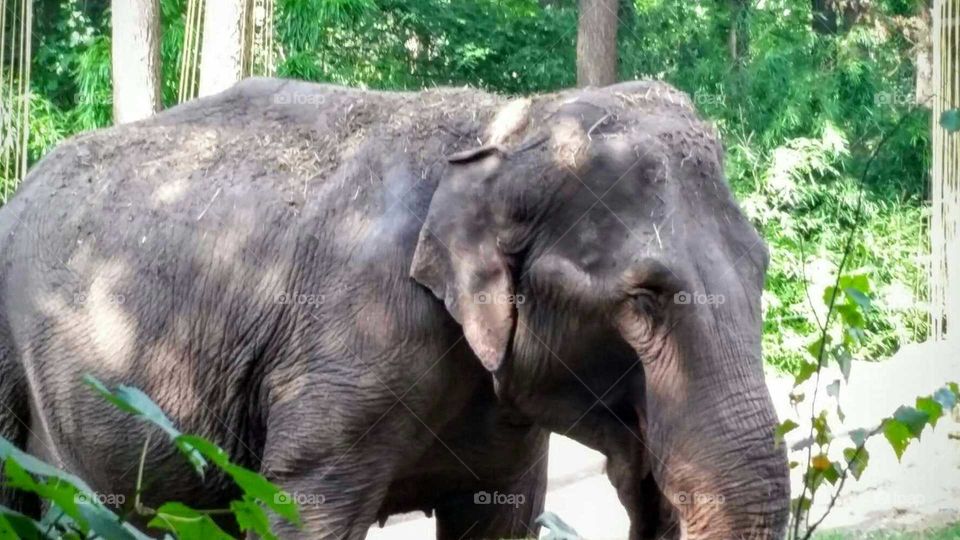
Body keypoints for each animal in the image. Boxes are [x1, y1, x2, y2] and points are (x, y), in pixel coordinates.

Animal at [0, 78, 789, 539]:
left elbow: (503, 514)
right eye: (643, 300)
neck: (503, 128)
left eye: (762, 270)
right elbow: (299, 512)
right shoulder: (346, 356)